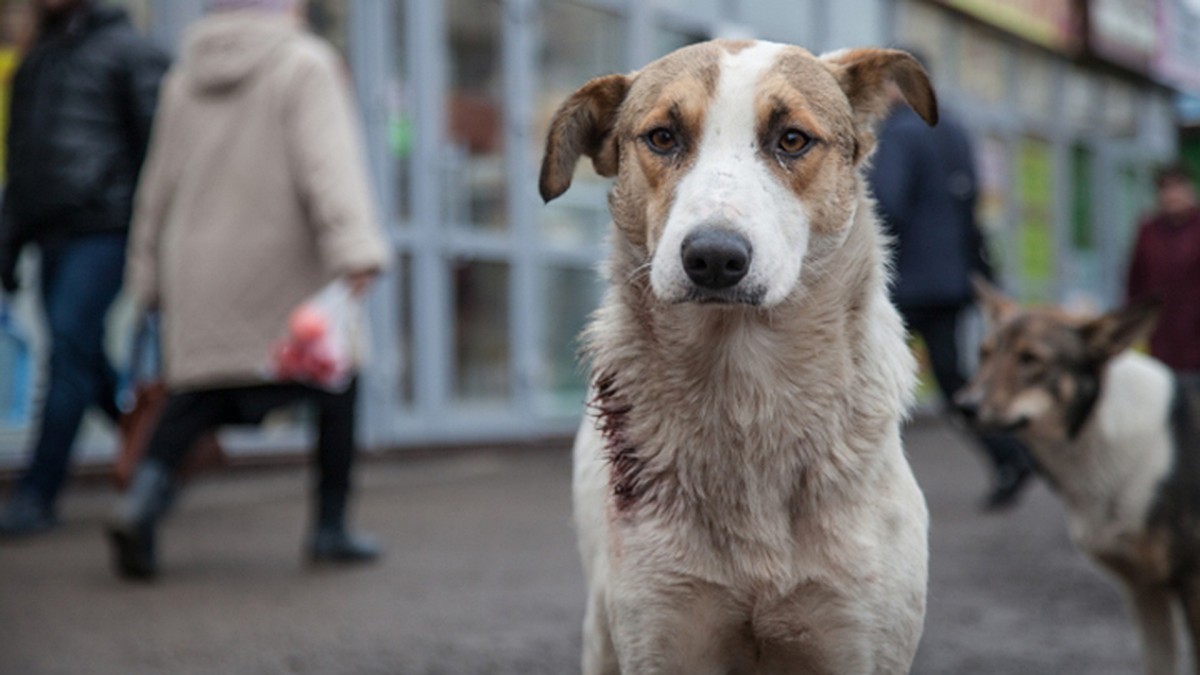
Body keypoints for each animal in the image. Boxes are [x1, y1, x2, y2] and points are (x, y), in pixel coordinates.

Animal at [542, 39, 936, 667]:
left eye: (792, 139)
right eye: (662, 137)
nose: (713, 257)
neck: (744, 383)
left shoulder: (860, 641)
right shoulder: (660, 635)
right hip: (602, 635)